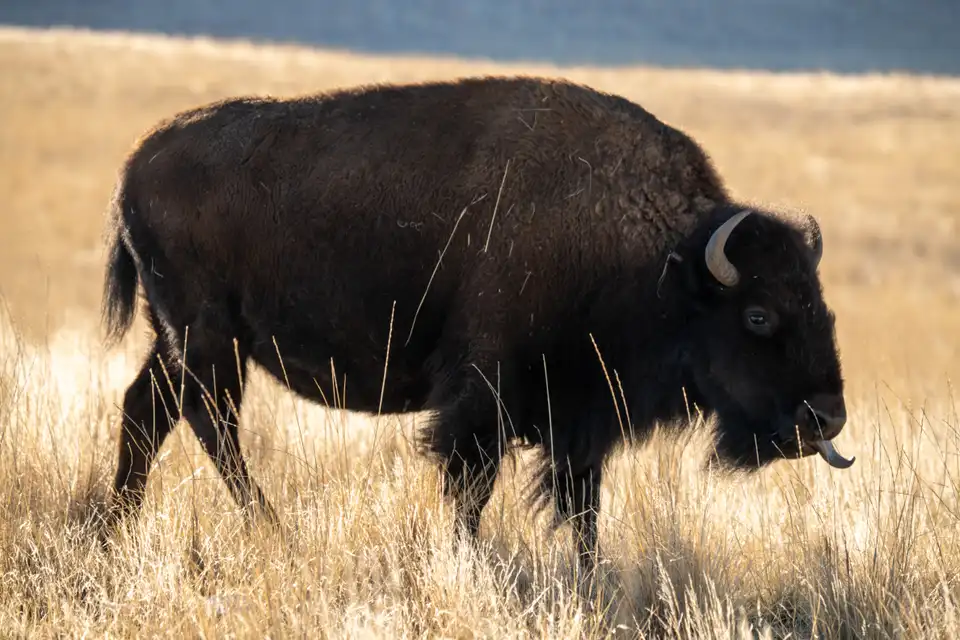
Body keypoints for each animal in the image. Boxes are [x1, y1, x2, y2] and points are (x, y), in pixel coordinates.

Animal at [101, 76, 853, 567]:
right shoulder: (483, 397)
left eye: (822, 308)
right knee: (212, 424)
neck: (659, 257)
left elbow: (582, 506)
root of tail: (135, 164)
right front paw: (468, 558)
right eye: (758, 314)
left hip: (176, 340)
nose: (827, 416)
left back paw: (113, 530)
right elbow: (473, 486)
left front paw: (591, 576)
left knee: (147, 411)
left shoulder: (581, 419)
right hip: (208, 337)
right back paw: (272, 532)